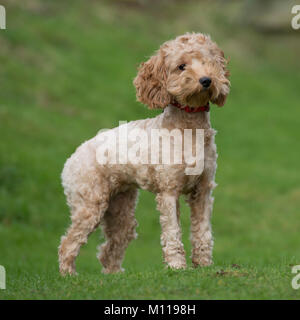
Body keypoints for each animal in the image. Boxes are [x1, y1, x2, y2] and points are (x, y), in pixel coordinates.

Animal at [58, 32, 230, 276]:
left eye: (208, 62)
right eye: (181, 66)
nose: (206, 80)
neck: (188, 127)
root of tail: (71, 158)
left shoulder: (203, 190)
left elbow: (203, 231)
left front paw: (204, 265)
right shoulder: (168, 190)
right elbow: (172, 232)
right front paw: (176, 266)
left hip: (120, 209)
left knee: (110, 248)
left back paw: (114, 275)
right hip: (90, 205)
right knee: (68, 243)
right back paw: (68, 275)